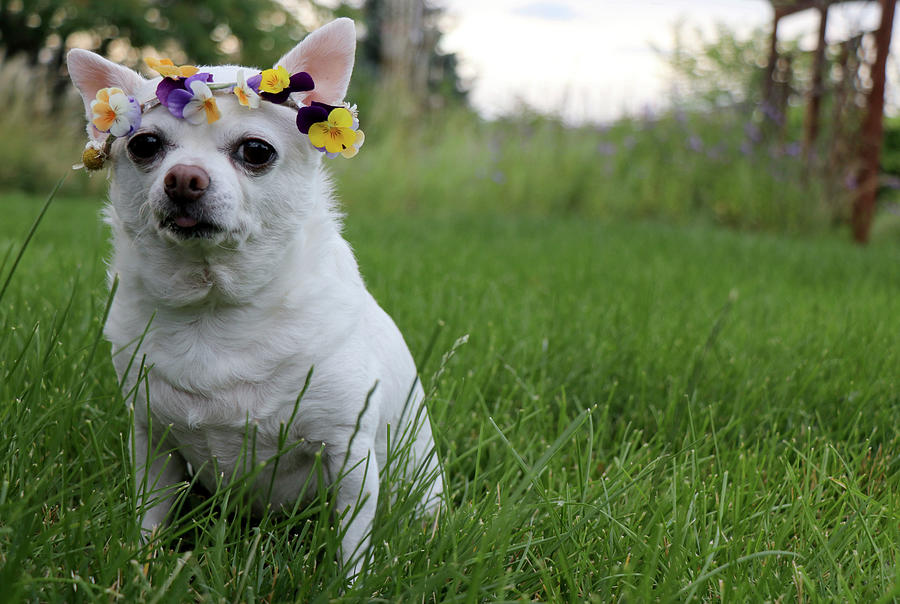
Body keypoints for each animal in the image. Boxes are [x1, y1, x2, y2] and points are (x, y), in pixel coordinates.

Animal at [66, 17, 442, 576]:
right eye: (145, 145)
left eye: (256, 151)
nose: (183, 178)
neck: (213, 311)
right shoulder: (152, 440)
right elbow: (149, 514)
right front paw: (140, 567)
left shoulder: (348, 452)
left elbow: (353, 542)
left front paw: (349, 584)